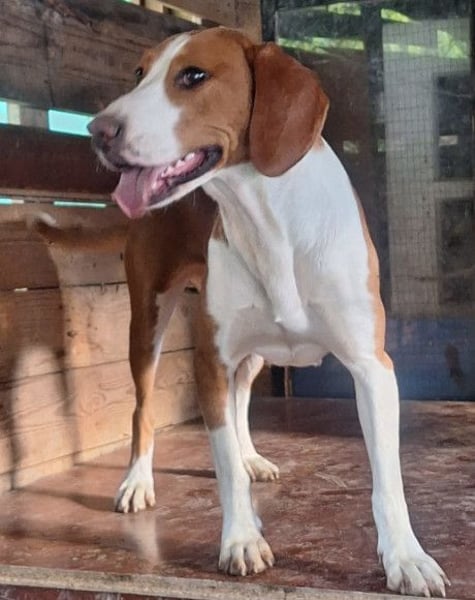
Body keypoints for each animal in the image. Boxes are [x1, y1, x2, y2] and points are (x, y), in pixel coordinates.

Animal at [86, 27, 449, 596]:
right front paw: (240, 539)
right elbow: (224, 469)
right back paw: (138, 481)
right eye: (138, 74)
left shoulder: (373, 368)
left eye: (193, 76)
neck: (266, 218)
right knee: (145, 408)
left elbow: (388, 478)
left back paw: (251, 454)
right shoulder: (210, 361)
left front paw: (406, 558)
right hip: (148, 319)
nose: (98, 130)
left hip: (251, 353)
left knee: (239, 402)